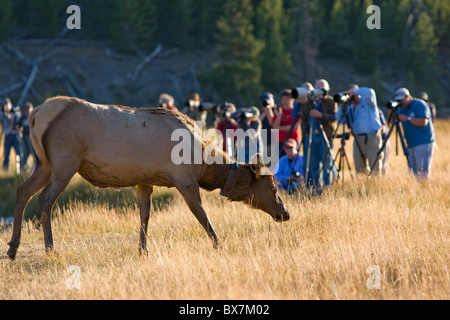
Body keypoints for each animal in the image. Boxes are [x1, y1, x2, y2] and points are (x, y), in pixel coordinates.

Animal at [7, 96, 290, 258]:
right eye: (273, 187)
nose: (285, 213)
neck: (204, 165)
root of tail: (34, 114)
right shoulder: (185, 179)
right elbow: (202, 215)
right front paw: (219, 244)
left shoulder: (145, 180)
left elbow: (144, 215)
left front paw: (142, 250)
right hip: (65, 162)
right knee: (45, 199)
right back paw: (50, 249)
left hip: (44, 163)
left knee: (22, 192)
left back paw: (12, 246)